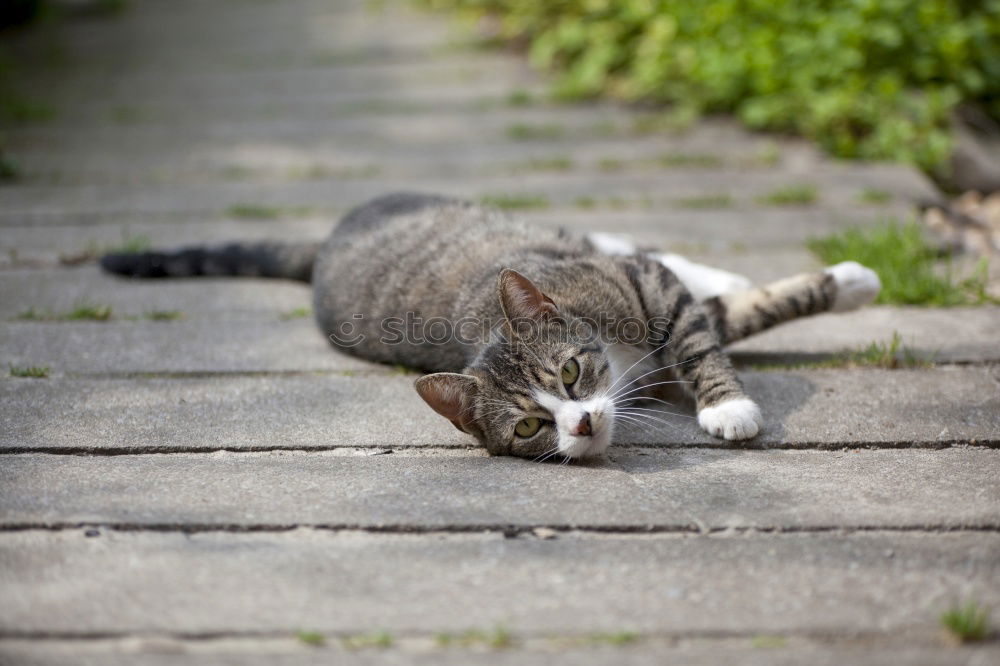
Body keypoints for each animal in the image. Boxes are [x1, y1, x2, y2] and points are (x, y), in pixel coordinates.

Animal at [101, 192, 880, 460]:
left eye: (569, 371)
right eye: (531, 425)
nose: (582, 424)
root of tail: (324, 246)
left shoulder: (644, 292)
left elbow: (702, 329)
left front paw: (729, 405)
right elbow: (733, 317)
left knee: (620, 240)